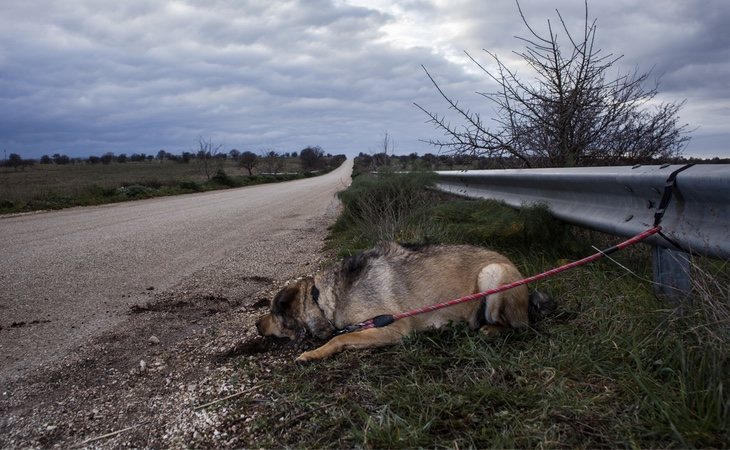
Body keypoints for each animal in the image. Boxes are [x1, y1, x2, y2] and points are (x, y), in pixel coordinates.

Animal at [256, 243, 552, 362]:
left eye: (272, 312)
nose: (257, 325)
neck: (322, 297)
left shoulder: (391, 327)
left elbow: (338, 338)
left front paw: (312, 354)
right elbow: (342, 337)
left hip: (492, 274)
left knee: (518, 327)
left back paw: (490, 329)